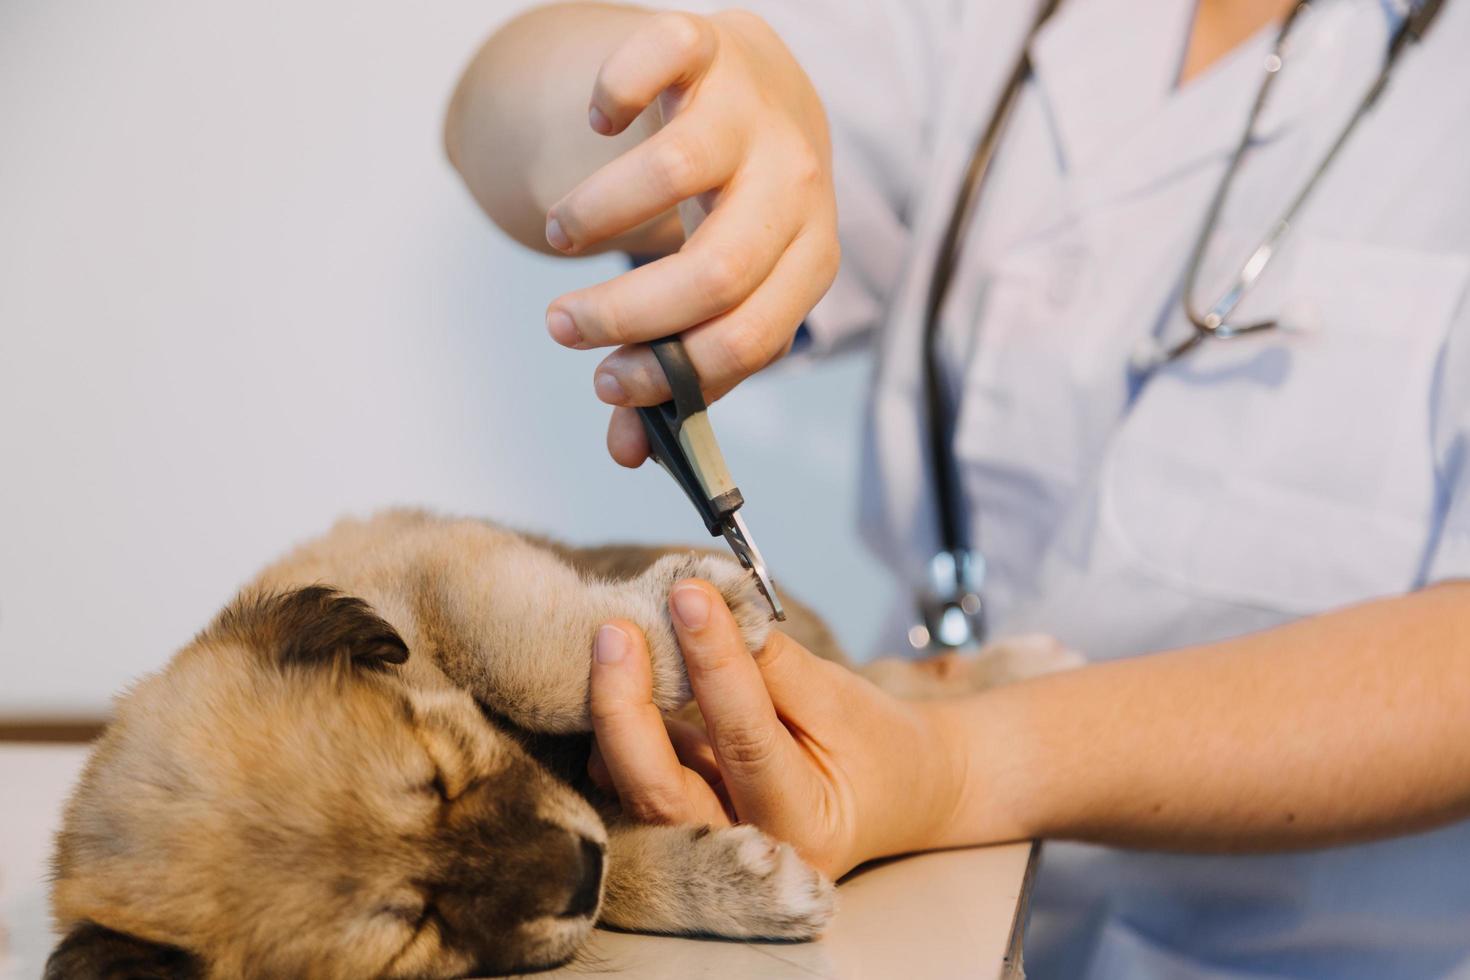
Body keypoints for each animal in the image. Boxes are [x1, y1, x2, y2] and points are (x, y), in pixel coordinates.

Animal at [42, 511, 1081, 975]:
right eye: (411, 931)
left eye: (439, 773)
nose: (575, 870)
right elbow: (621, 867)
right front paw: (740, 884)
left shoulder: (441, 565)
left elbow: (527, 654)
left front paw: (680, 621)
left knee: (910, 680)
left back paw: (1028, 661)